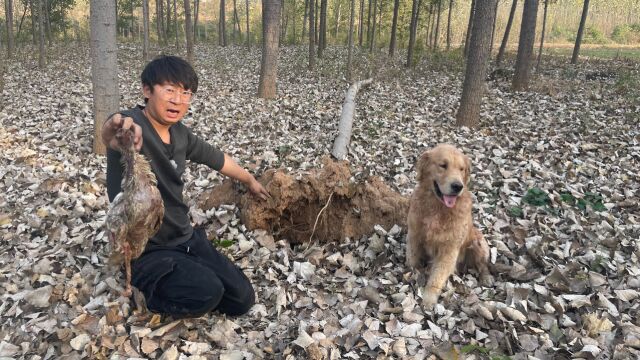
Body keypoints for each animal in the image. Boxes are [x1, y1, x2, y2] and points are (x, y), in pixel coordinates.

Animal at [408, 143, 492, 310]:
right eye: (443, 165)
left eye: (461, 169)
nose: (457, 186)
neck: (437, 208)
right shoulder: (414, 234)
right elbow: (413, 258)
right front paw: (412, 272)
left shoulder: (449, 249)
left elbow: (438, 275)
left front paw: (429, 298)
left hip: (479, 243)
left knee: (483, 264)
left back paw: (486, 278)